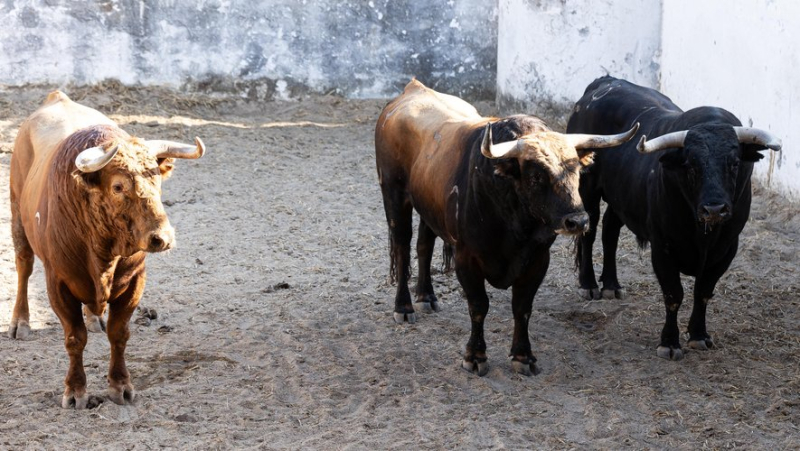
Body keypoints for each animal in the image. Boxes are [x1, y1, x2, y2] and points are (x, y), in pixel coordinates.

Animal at [7, 92, 205, 410]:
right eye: (118, 186)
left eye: (156, 180)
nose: (162, 238)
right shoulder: (57, 282)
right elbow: (74, 338)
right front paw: (75, 392)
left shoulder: (135, 281)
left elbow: (119, 333)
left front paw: (121, 386)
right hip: (16, 214)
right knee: (24, 265)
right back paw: (20, 323)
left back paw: (93, 317)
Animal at [376, 79, 636, 376]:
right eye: (536, 177)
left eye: (576, 172)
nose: (578, 221)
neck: (514, 225)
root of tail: (412, 89)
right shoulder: (467, 258)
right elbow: (479, 306)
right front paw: (475, 356)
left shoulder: (538, 259)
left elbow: (522, 307)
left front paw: (524, 356)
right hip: (394, 195)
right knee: (402, 248)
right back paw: (404, 306)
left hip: (429, 204)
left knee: (424, 245)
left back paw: (426, 296)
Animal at [568, 76, 780, 362]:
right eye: (690, 165)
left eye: (735, 163)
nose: (715, 209)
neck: (702, 234)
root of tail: (606, 81)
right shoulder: (663, 247)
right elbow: (673, 294)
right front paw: (669, 342)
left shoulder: (727, 248)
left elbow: (703, 292)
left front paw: (699, 335)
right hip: (588, 188)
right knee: (589, 233)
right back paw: (589, 285)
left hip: (622, 197)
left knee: (610, 230)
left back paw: (612, 285)